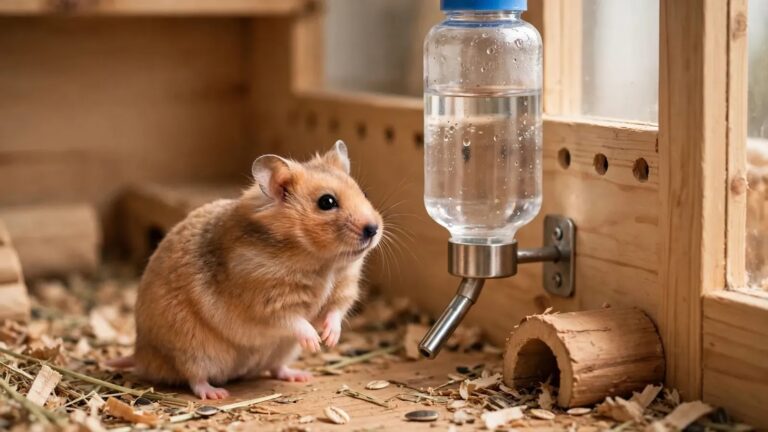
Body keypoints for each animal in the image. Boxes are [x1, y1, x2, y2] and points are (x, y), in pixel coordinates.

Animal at [128, 141, 382, 400]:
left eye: (364, 193)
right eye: (327, 202)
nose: (374, 229)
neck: (324, 263)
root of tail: (141, 355)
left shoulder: (344, 288)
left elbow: (335, 312)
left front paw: (330, 339)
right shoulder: (267, 301)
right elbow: (295, 321)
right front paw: (315, 342)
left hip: (283, 349)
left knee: (275, 367)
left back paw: (299, 376)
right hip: (192, 350)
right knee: (194, 378)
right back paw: (216, 393)